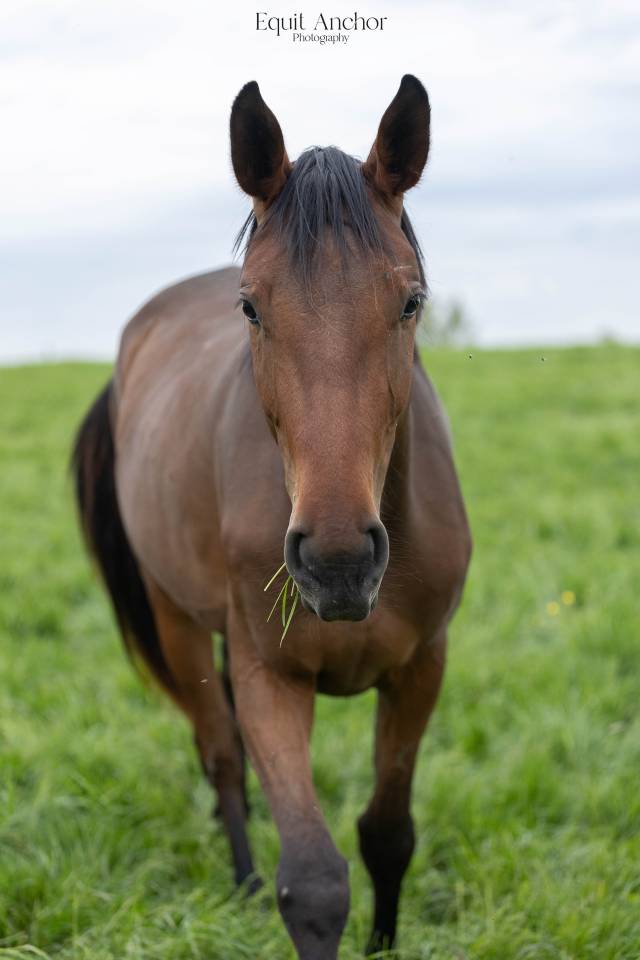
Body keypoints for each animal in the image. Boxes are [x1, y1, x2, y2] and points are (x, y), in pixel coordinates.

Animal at [72, 75, 471, 959]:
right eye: (250, 307)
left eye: (412, 301)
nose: (337, 563)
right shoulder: (271, 677)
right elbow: (315, 881)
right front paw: (277, 889)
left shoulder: (422, 668)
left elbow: (387, 835)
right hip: (177, 619)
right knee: (221, 754)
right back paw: (244, 883)